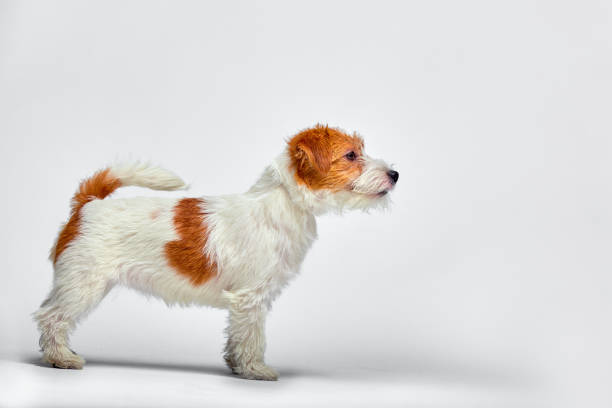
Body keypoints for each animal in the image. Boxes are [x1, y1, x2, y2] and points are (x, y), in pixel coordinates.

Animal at [34, 124, 396, 380]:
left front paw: (236, 366)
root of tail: (89, 204)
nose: (395, 174)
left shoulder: (247, 302)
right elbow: (252, 337)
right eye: (351, 155)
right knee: (50, 317)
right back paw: (61, 358)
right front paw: (255, 370)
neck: (283, 202)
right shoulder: (251, 298)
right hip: (83, 285)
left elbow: (237, 336)